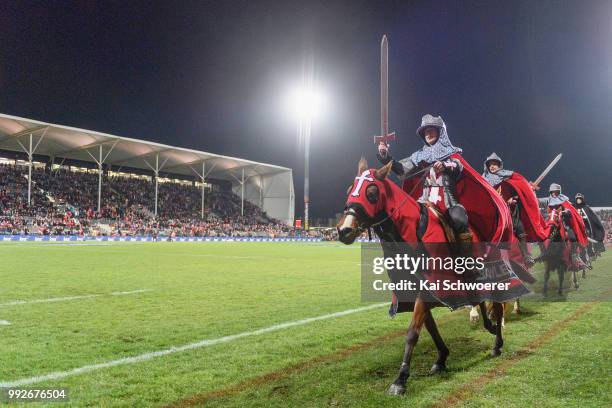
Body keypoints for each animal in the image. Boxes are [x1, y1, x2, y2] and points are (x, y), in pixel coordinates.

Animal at [338, 159, 510, 396]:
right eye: (349, 190)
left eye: (371, 192)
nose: (344, 230)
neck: (410, 233)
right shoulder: (418, 293)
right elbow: (430, 329)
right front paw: (441, 359)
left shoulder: (429, 291)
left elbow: (412, 333)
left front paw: (400, 379)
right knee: (481, 301)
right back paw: (488, 325)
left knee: (498, 307)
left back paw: (497, 344)